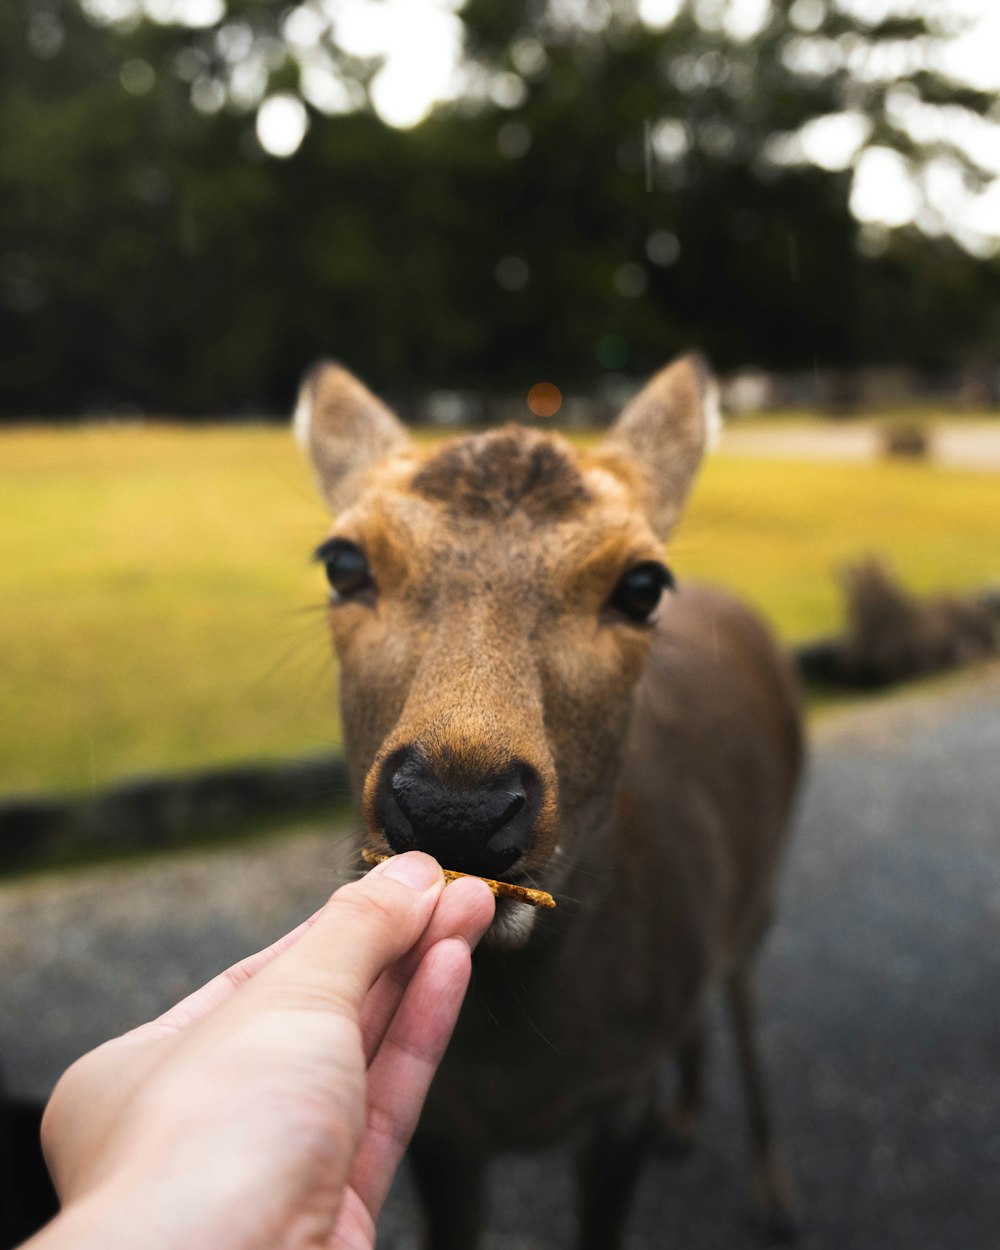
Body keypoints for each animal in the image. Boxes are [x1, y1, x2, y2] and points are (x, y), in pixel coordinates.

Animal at [292, 355, 800, 1250]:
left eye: (642, 584)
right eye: (343, 563)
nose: (457, 809)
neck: (517, 1068)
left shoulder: (620, 1095)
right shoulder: (440, 1126)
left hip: (765, 884)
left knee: (741, 1000)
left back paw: (774, 1193)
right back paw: (686, 1121)